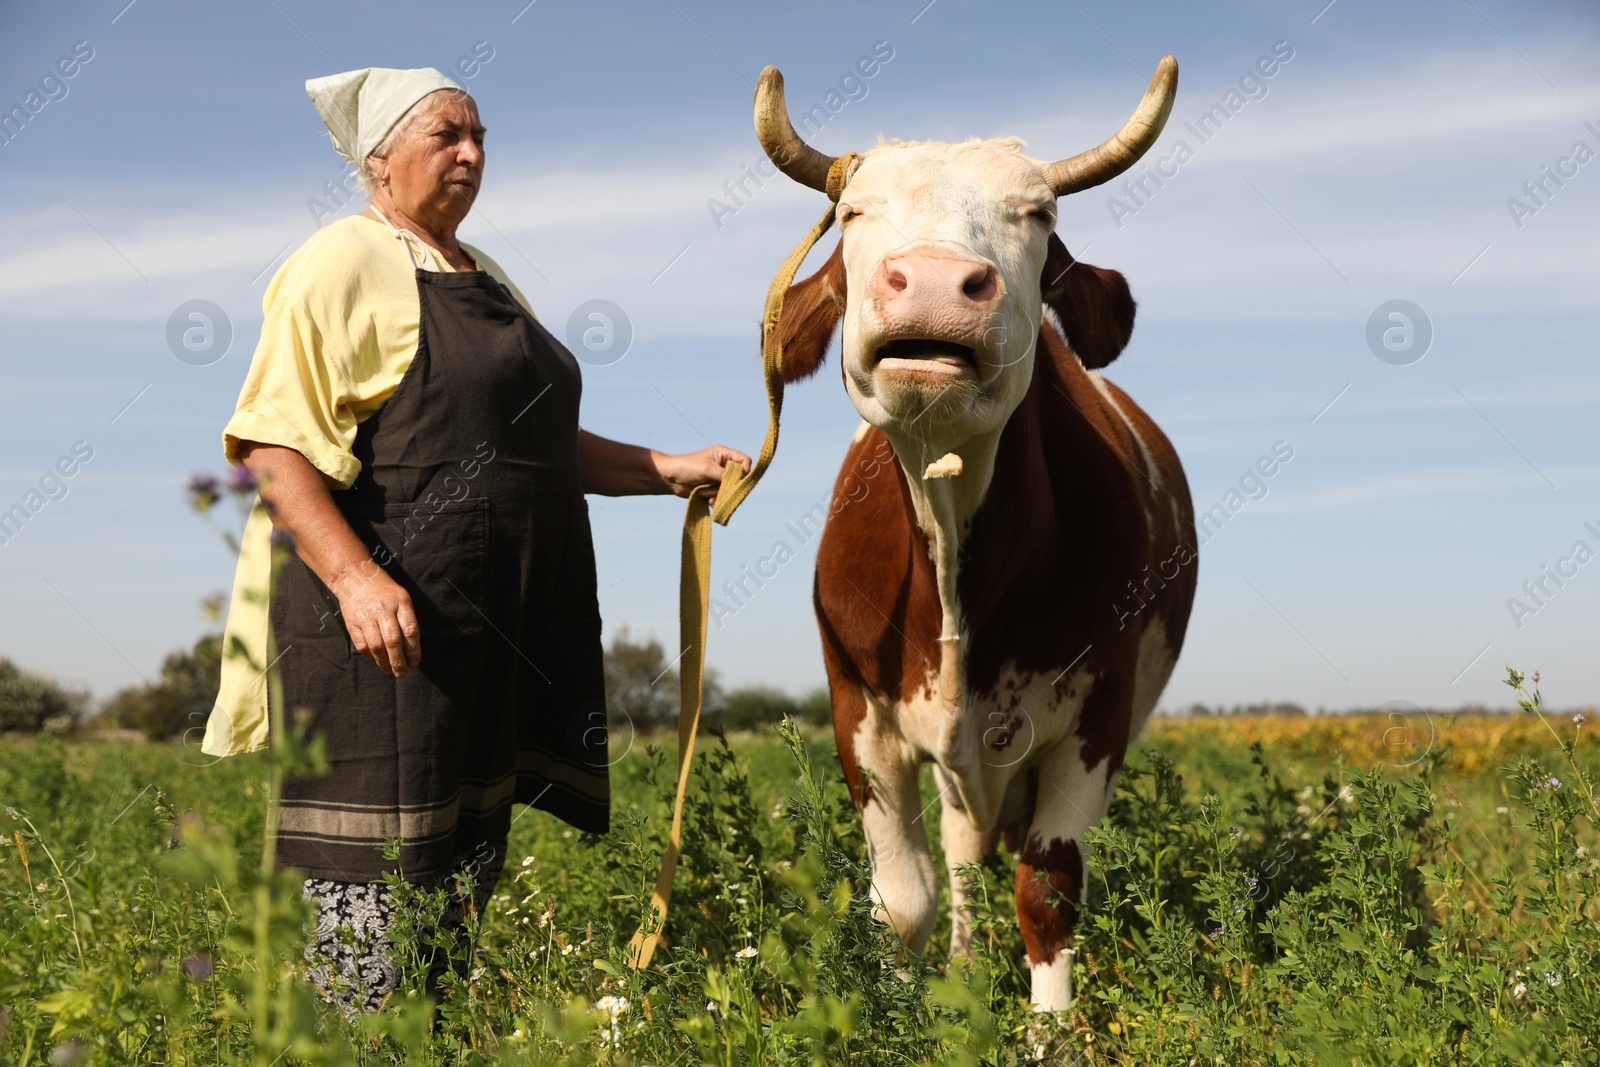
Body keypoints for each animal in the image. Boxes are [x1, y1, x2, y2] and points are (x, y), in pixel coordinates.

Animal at [755, 56, 1196, 1011]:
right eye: (853, 213)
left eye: (1039, 214)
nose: (929, 280)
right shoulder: (858, 706)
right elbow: (904, 897)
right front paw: (903, 1012)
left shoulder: (1094, 714)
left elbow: (1047, 890)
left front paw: (1050, 1028)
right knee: (959, 858)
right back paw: (959, 968)